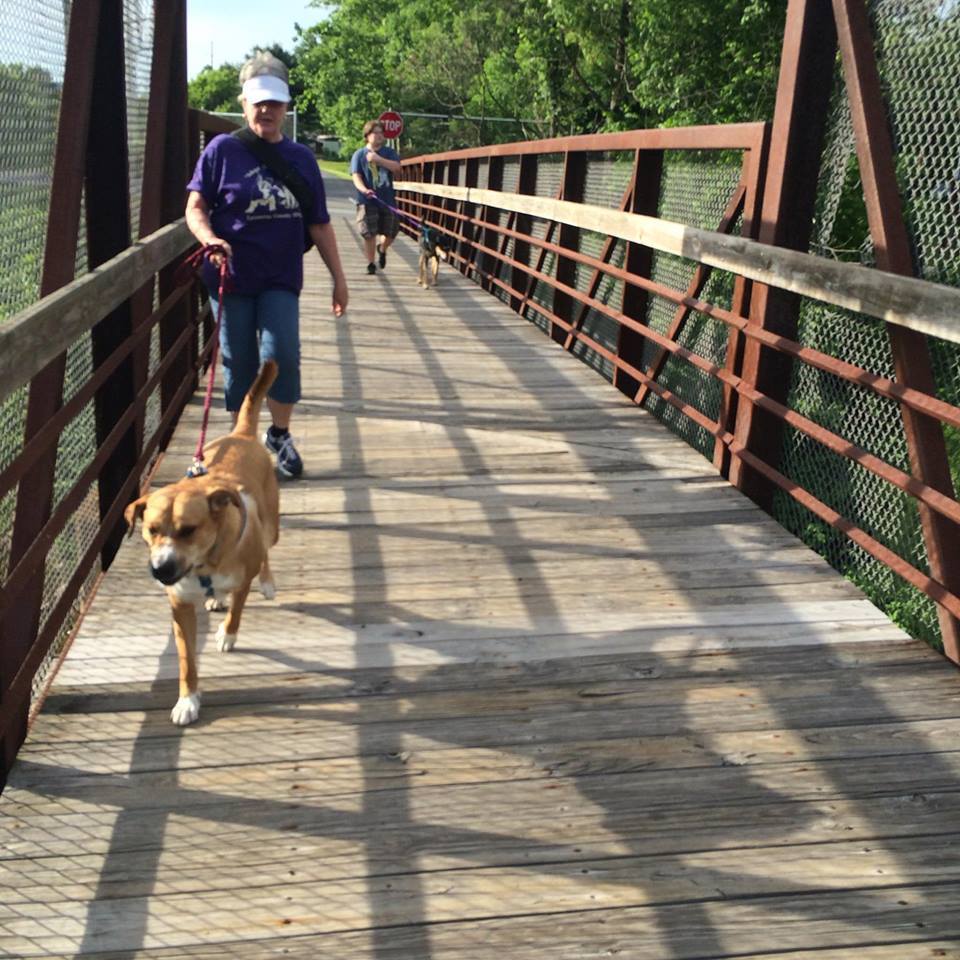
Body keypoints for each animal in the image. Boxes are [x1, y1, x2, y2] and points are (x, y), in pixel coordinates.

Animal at [124, 361, 280, 725]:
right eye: (151, 529)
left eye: (188, 530)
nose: (160, 569)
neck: (205, 562)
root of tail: (241, 435)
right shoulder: (179, 606)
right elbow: (186, 661)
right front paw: (187, 701)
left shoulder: (241, 579)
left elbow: (237, 610)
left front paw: (227, 634)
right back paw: (215, 599)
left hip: (270, 524)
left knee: (266, 550)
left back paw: (266, 583)